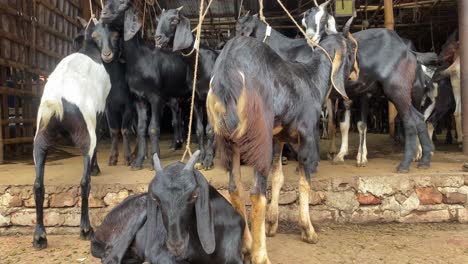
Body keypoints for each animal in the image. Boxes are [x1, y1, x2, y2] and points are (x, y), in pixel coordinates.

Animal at [31, 20, 113, 248]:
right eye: (98, 34)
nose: (108, 54)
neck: (88, 51)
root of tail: (57, 103)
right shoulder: (100, 109)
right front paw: (96, 168)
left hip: (40, 137)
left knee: (38, 184)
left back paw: (39, 236)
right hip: (85, 132)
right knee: (84, 180)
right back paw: (86, 229)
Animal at [154, 7, 218, 170]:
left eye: (174, 20)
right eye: (158, 20)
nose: (158, 38)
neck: (199, 64)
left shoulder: (210, 98)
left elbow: (209, 130)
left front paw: (208, 160)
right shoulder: (195, 98)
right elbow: (199, 129)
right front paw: (200, 156)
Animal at [207, 18, 356, 262]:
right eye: (352, 49)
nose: (355, 74)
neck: (312, 79)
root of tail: (228, 73)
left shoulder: (278, 139)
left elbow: (278, 177)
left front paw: (272, 224)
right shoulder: (308, 136)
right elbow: (305, 181)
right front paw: (308, 231)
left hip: (230, 142)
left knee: (235, 189)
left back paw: (246, 247)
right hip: (259, 137)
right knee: (256, 193)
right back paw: (260, 255)